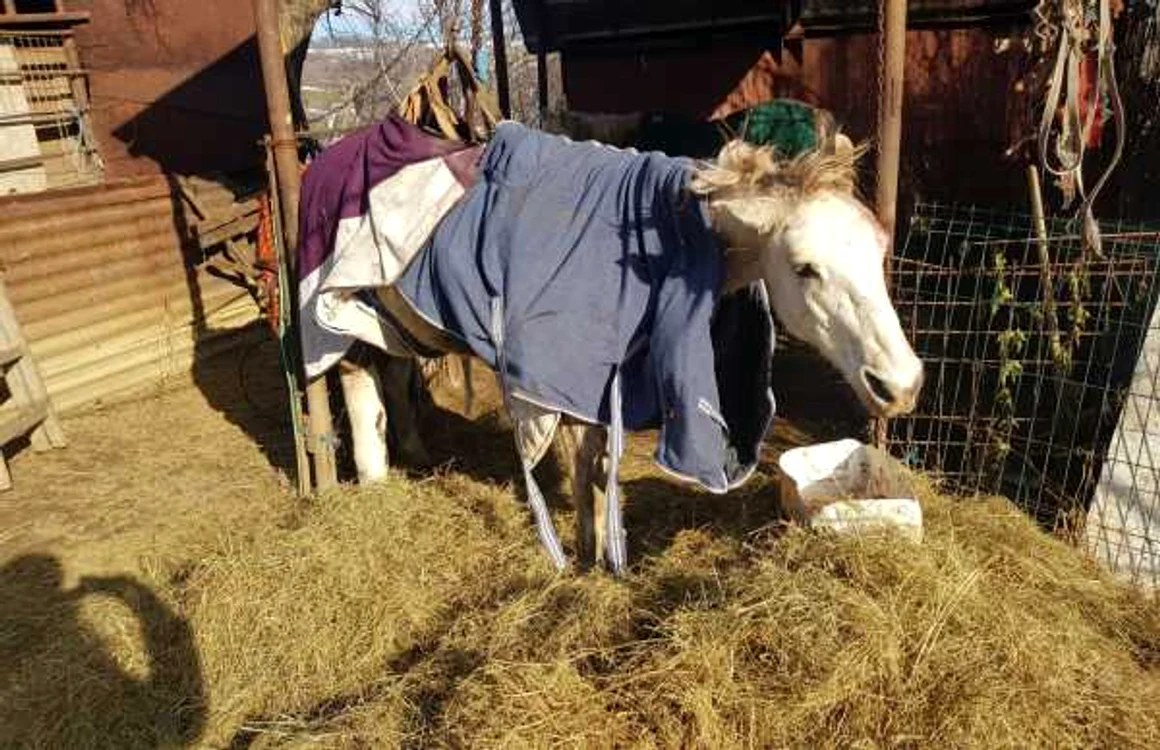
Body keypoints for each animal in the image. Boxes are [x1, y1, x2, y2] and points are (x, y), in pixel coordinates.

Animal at [318, 121, 923, 573]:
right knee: (357, 382)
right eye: (804, 268)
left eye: (879, 249)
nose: (901, 384)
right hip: (338, 314)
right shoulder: (563, 376)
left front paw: (602, 550)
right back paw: (374, 482)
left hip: (392, 321)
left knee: (393, 376)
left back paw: (414, 452)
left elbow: (598, 459)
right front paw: (589, 556)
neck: (662, 245)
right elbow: (584, 461)